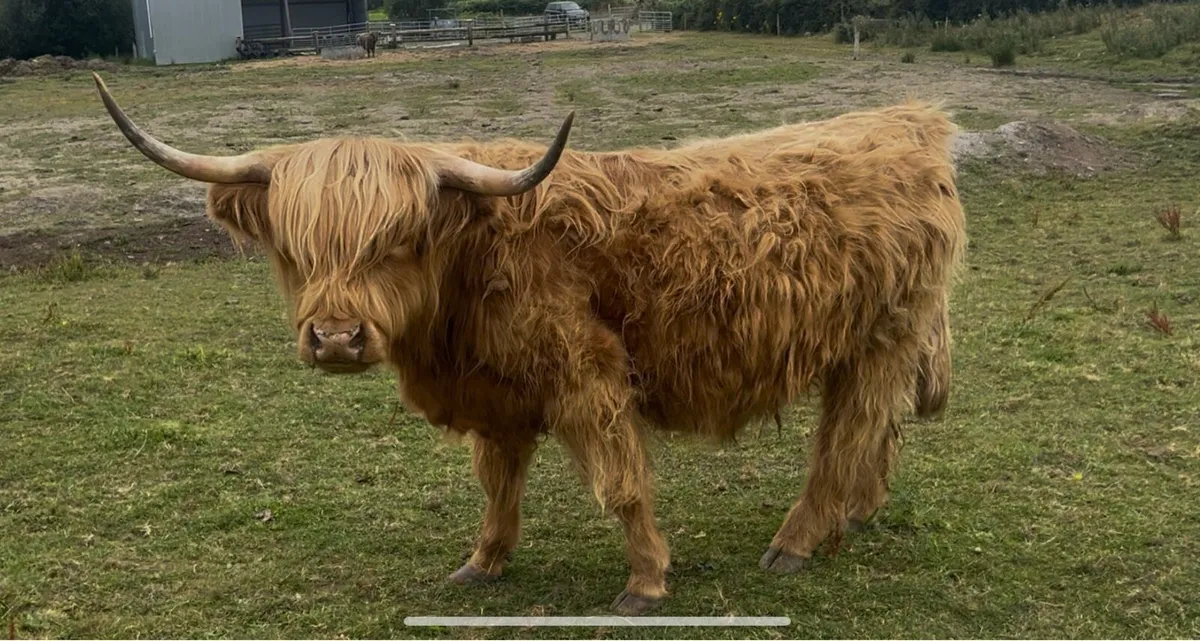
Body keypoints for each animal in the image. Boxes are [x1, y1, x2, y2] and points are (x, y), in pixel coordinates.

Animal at [90, 72, 966, 615]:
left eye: (398, 239)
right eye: (296, 247)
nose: (335, 337)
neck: (469, 257)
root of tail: (912, 121)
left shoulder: (589, 375)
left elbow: (622, 480)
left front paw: (646, 580)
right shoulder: (497, 393)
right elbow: (497, 483)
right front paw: (483, 561)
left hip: (884, 335)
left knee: (847, 436)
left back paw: (796, 540)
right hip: (866, 345)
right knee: (874, 431)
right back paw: (855, 516)